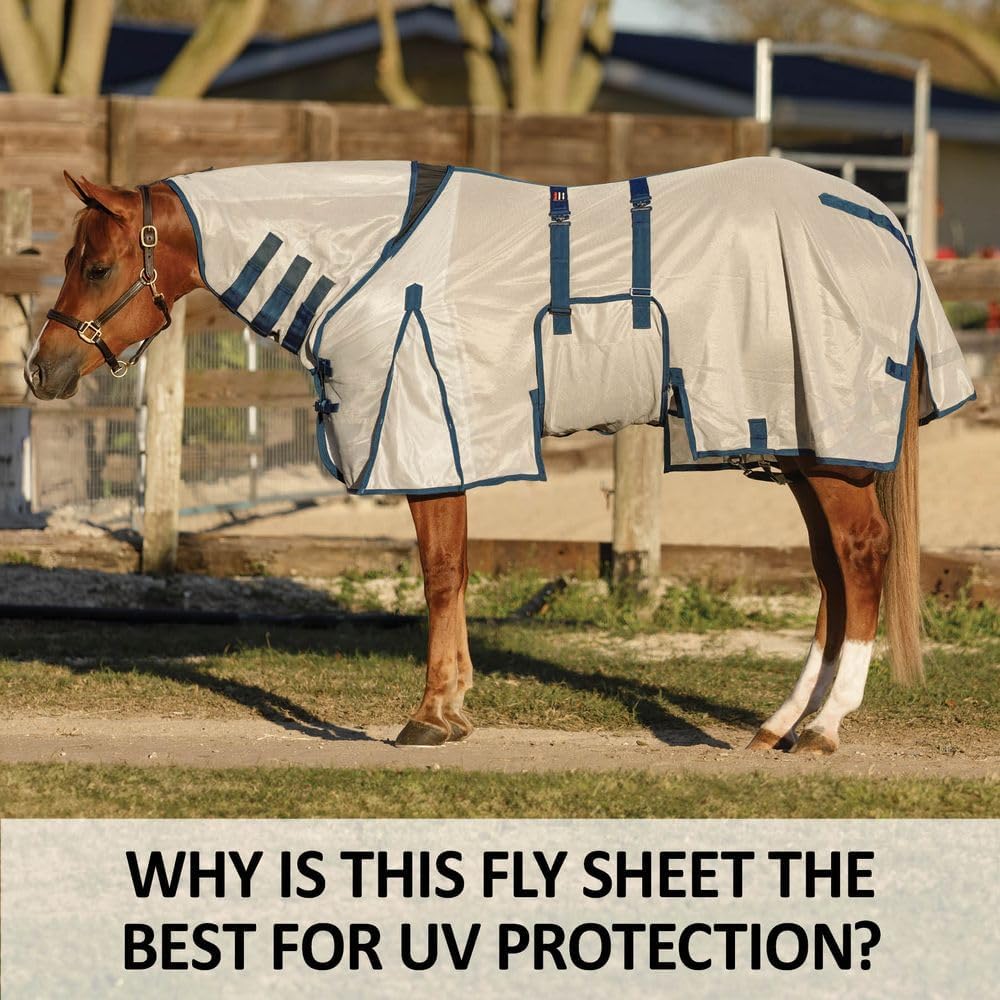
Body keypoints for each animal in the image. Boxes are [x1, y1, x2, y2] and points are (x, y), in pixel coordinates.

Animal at [26, 159, 975, 754]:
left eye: (99, 265)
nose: (42, 368)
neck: (374, 260)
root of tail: (881, 222)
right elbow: (452, 571)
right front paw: (452, 708)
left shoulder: (426, 441)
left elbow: (441, 574)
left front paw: (432, 714)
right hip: (801, 448)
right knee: (832, 574)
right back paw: (779, 725)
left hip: (821, 450)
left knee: (861, 556)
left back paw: (822, 728)